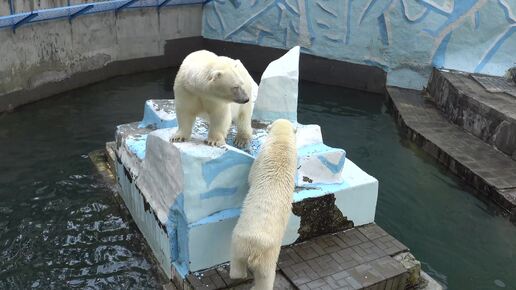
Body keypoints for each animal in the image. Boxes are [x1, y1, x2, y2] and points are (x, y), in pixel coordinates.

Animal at [229, 119, 296, 288]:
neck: (282, 144)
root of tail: (255, 250)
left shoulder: (261, 158)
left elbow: (251, 175)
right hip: (262, 254)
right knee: (262, 275)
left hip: (242, 241)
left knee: (240, 265)